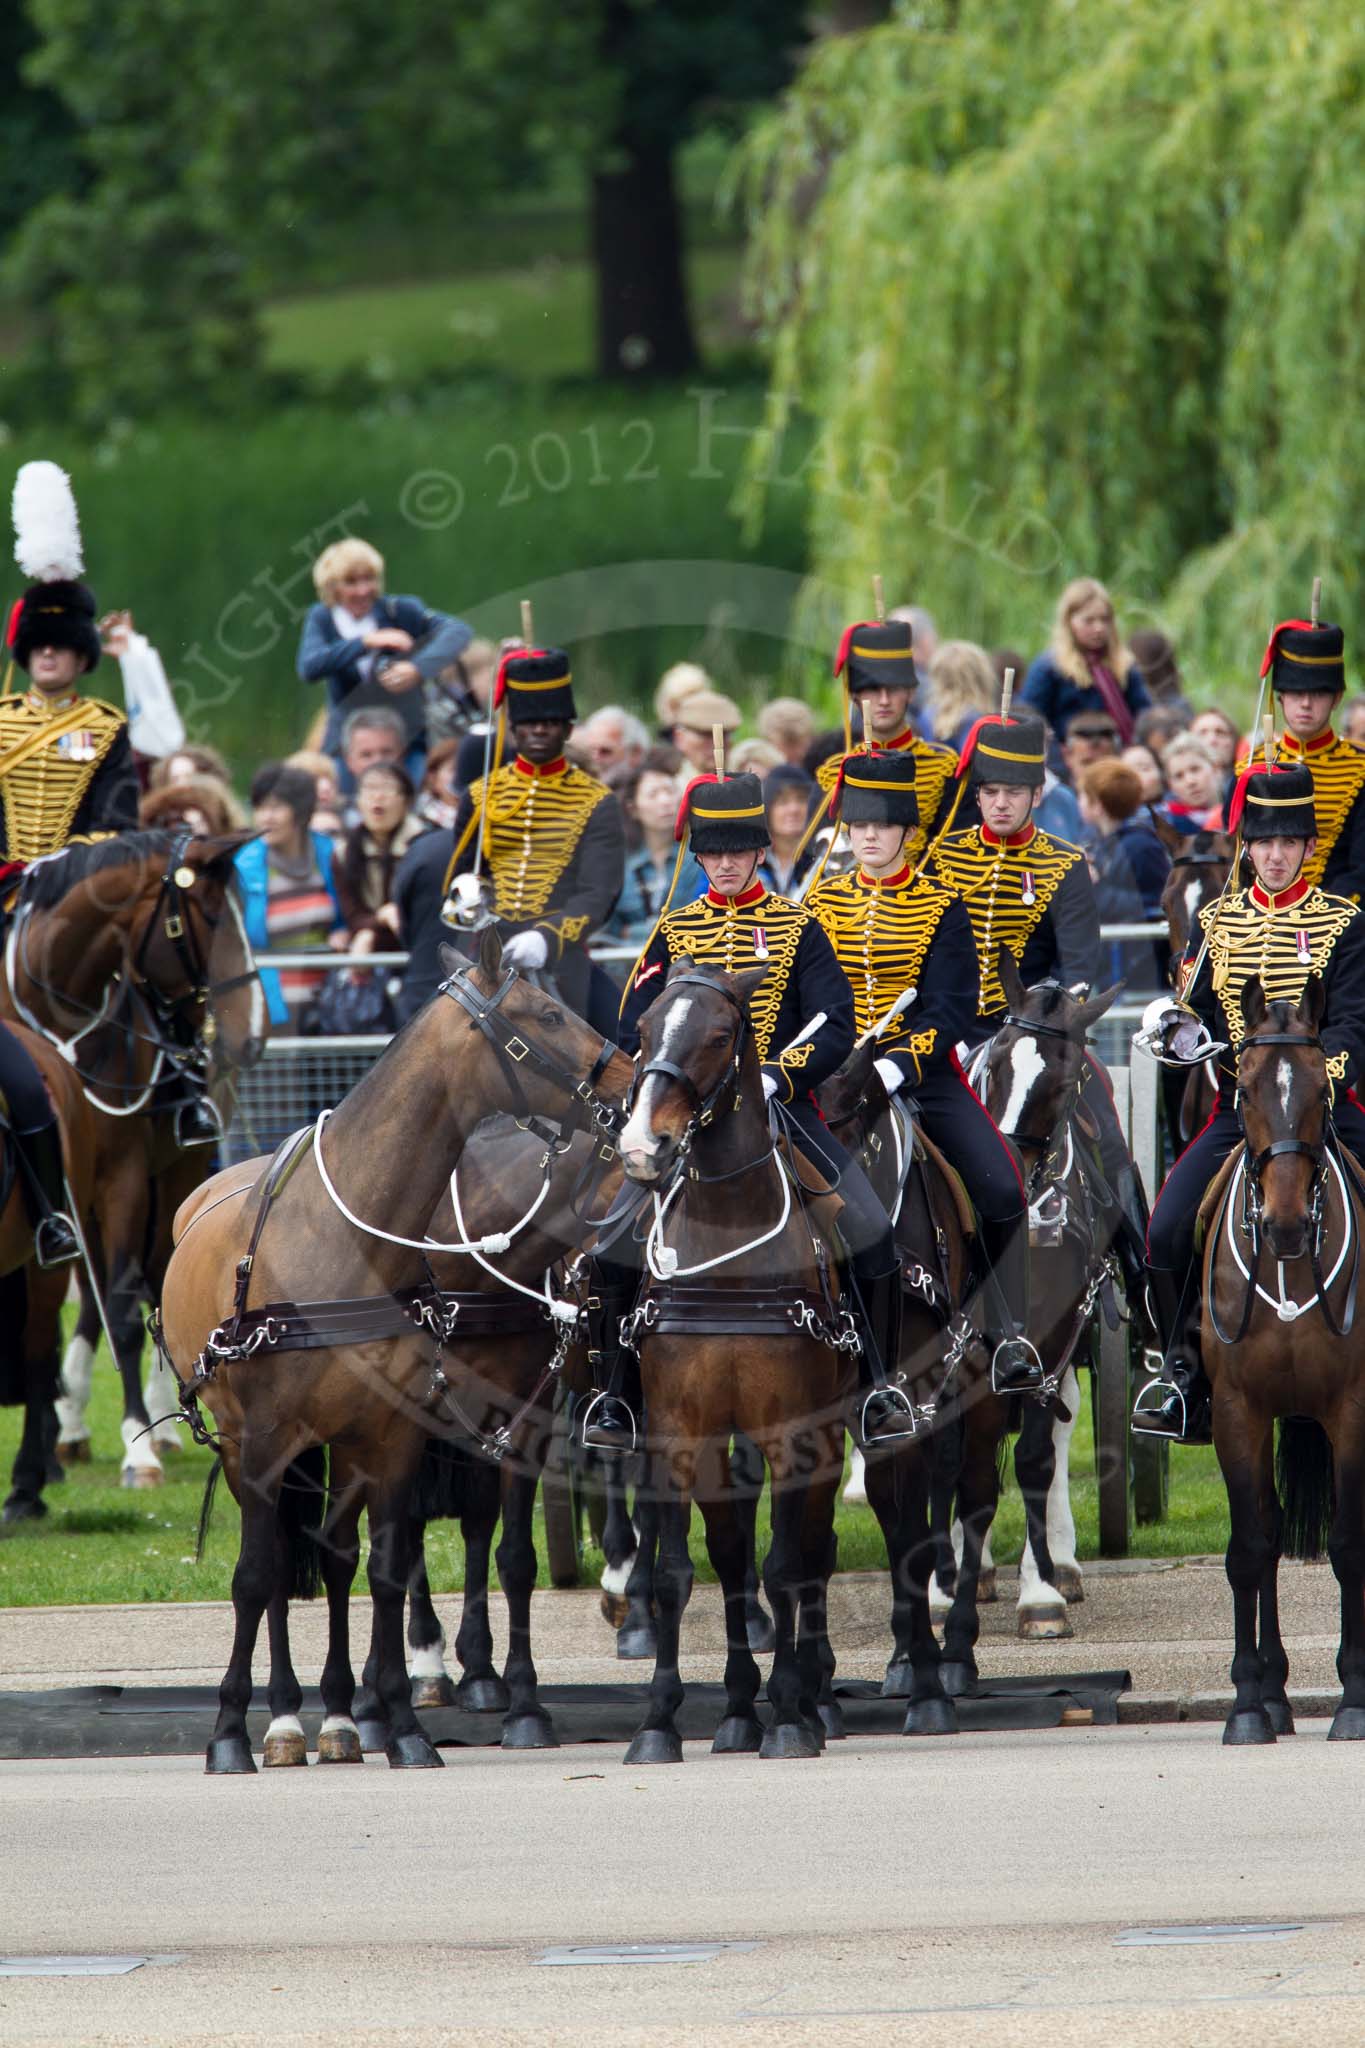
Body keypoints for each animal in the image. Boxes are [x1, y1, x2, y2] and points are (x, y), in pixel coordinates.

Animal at [0, 827, 263, 1490]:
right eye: (211, 914)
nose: (251, 1035)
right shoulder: (72, 1189)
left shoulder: (120, 1176)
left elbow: (122, 1301)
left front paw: (139, 1446)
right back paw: (66, 1427)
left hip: (175, 1172)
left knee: (154, 1273)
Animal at [160, 933, 626, 1777]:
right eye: (545, 1013)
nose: (634, 1075)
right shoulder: (269, 1438)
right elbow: (257, 1576)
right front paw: (233, 1731)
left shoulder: (411, 1431)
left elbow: (408, 1561)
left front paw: (409, 1719)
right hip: (246, 1445)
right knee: (275, 1565)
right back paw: (286, 1716)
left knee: (339, 1554)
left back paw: (346, 1712)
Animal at [618, 958, 855, 1761]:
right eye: (642, 1027)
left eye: (721, 1035)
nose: (643, 1145)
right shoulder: (677, 1428)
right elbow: (681, 1570)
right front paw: (661, 1719)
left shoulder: (790, 1429)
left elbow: (784, 1566)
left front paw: (787, 1712)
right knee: (734, 1551)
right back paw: (737, 1707)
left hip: (830, 1431)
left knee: (813, 1551)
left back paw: (811, 1696)